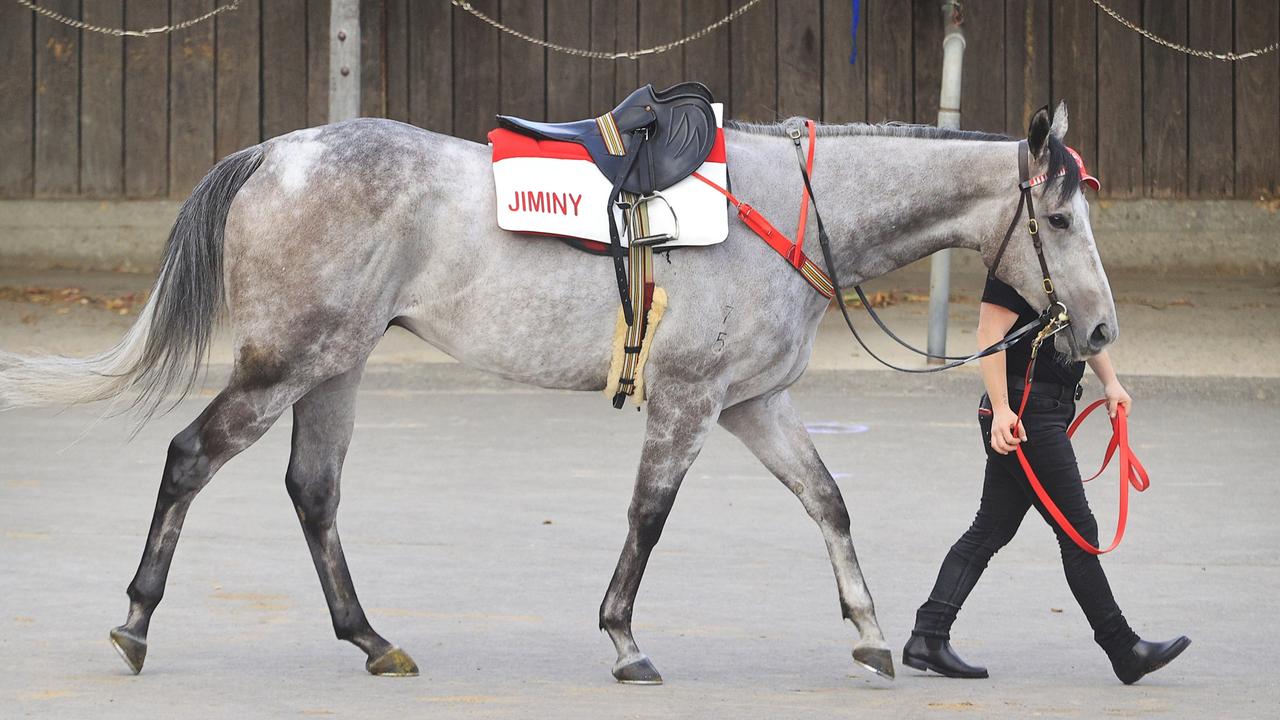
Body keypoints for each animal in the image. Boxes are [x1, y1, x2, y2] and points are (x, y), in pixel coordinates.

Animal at [0, 101, 1116, 676]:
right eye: (1060, 220)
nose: (1100, 332)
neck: (780, 206)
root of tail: (276, 152)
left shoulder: (753, 404)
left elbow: (827, 501)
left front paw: (873, 633)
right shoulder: (691, 403)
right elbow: (649, 517)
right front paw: (623, 638)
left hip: (335, 366)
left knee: (312, 491)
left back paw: (370, 638)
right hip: (285, 362)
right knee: (191, 459)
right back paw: (136, 623)